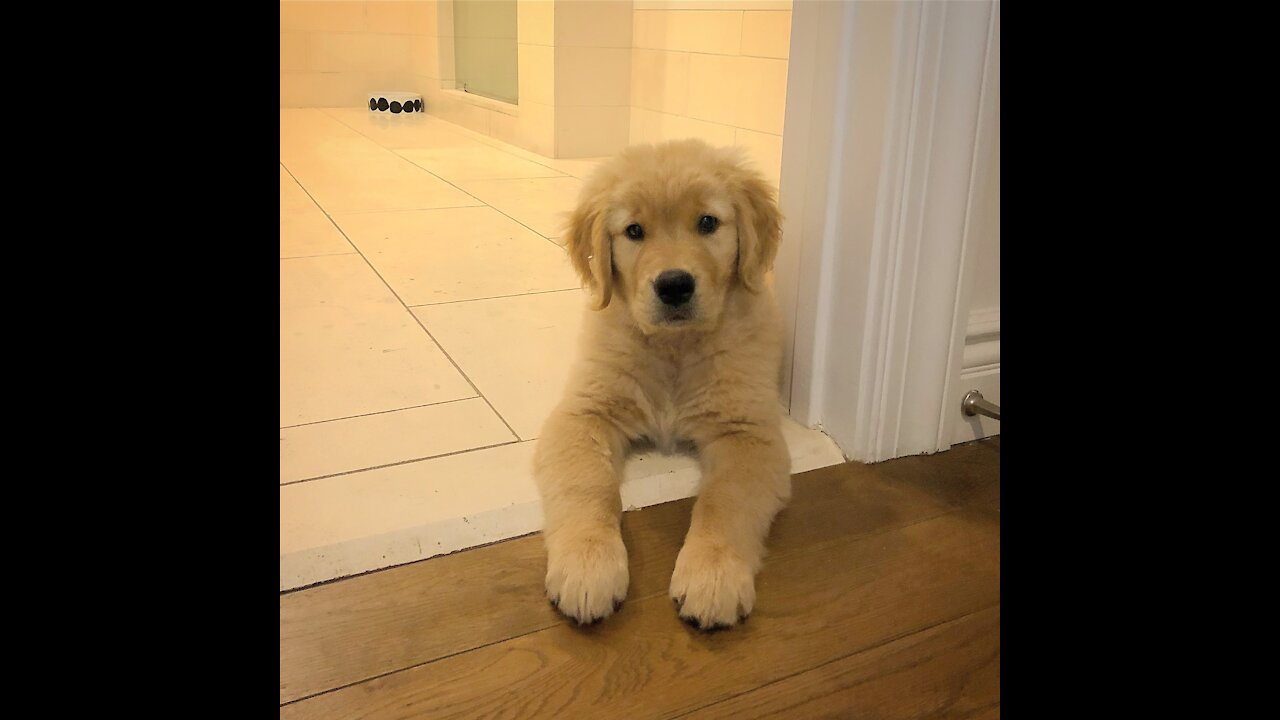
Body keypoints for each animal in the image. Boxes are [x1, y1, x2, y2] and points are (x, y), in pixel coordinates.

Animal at [529, 135, 788, 627]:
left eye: (708, 223)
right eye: (633, 231)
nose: (674, 286)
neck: (674, 349)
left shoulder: (747, 431)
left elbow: (725, 501)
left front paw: (713, 574)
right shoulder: (583, 413)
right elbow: (588, 483)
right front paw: (587, 564)